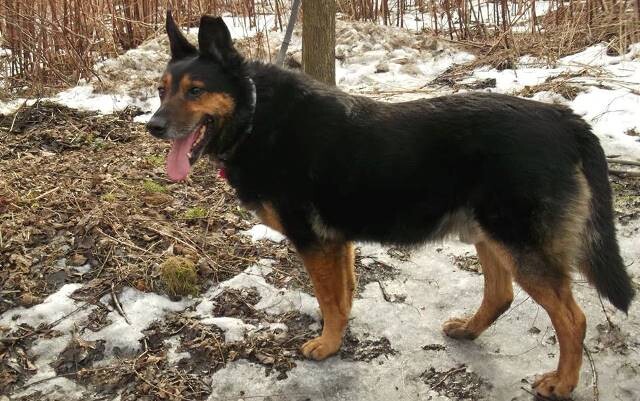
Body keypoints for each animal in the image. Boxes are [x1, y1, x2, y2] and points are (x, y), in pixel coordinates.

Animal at [146, 12, 635, 399]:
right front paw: (338, 336)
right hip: (488, 234)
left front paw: (326, 346)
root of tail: (564, 118)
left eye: (195, 91)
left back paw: (562, 382)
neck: (254, 115)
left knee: (573, 319)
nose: (153, 126)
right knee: (501, 295)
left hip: (518, 244)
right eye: (161, 90)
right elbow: (340, 297)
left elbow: (329, 300)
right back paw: (469, 329)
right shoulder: (337, 244)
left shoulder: (315, 243)